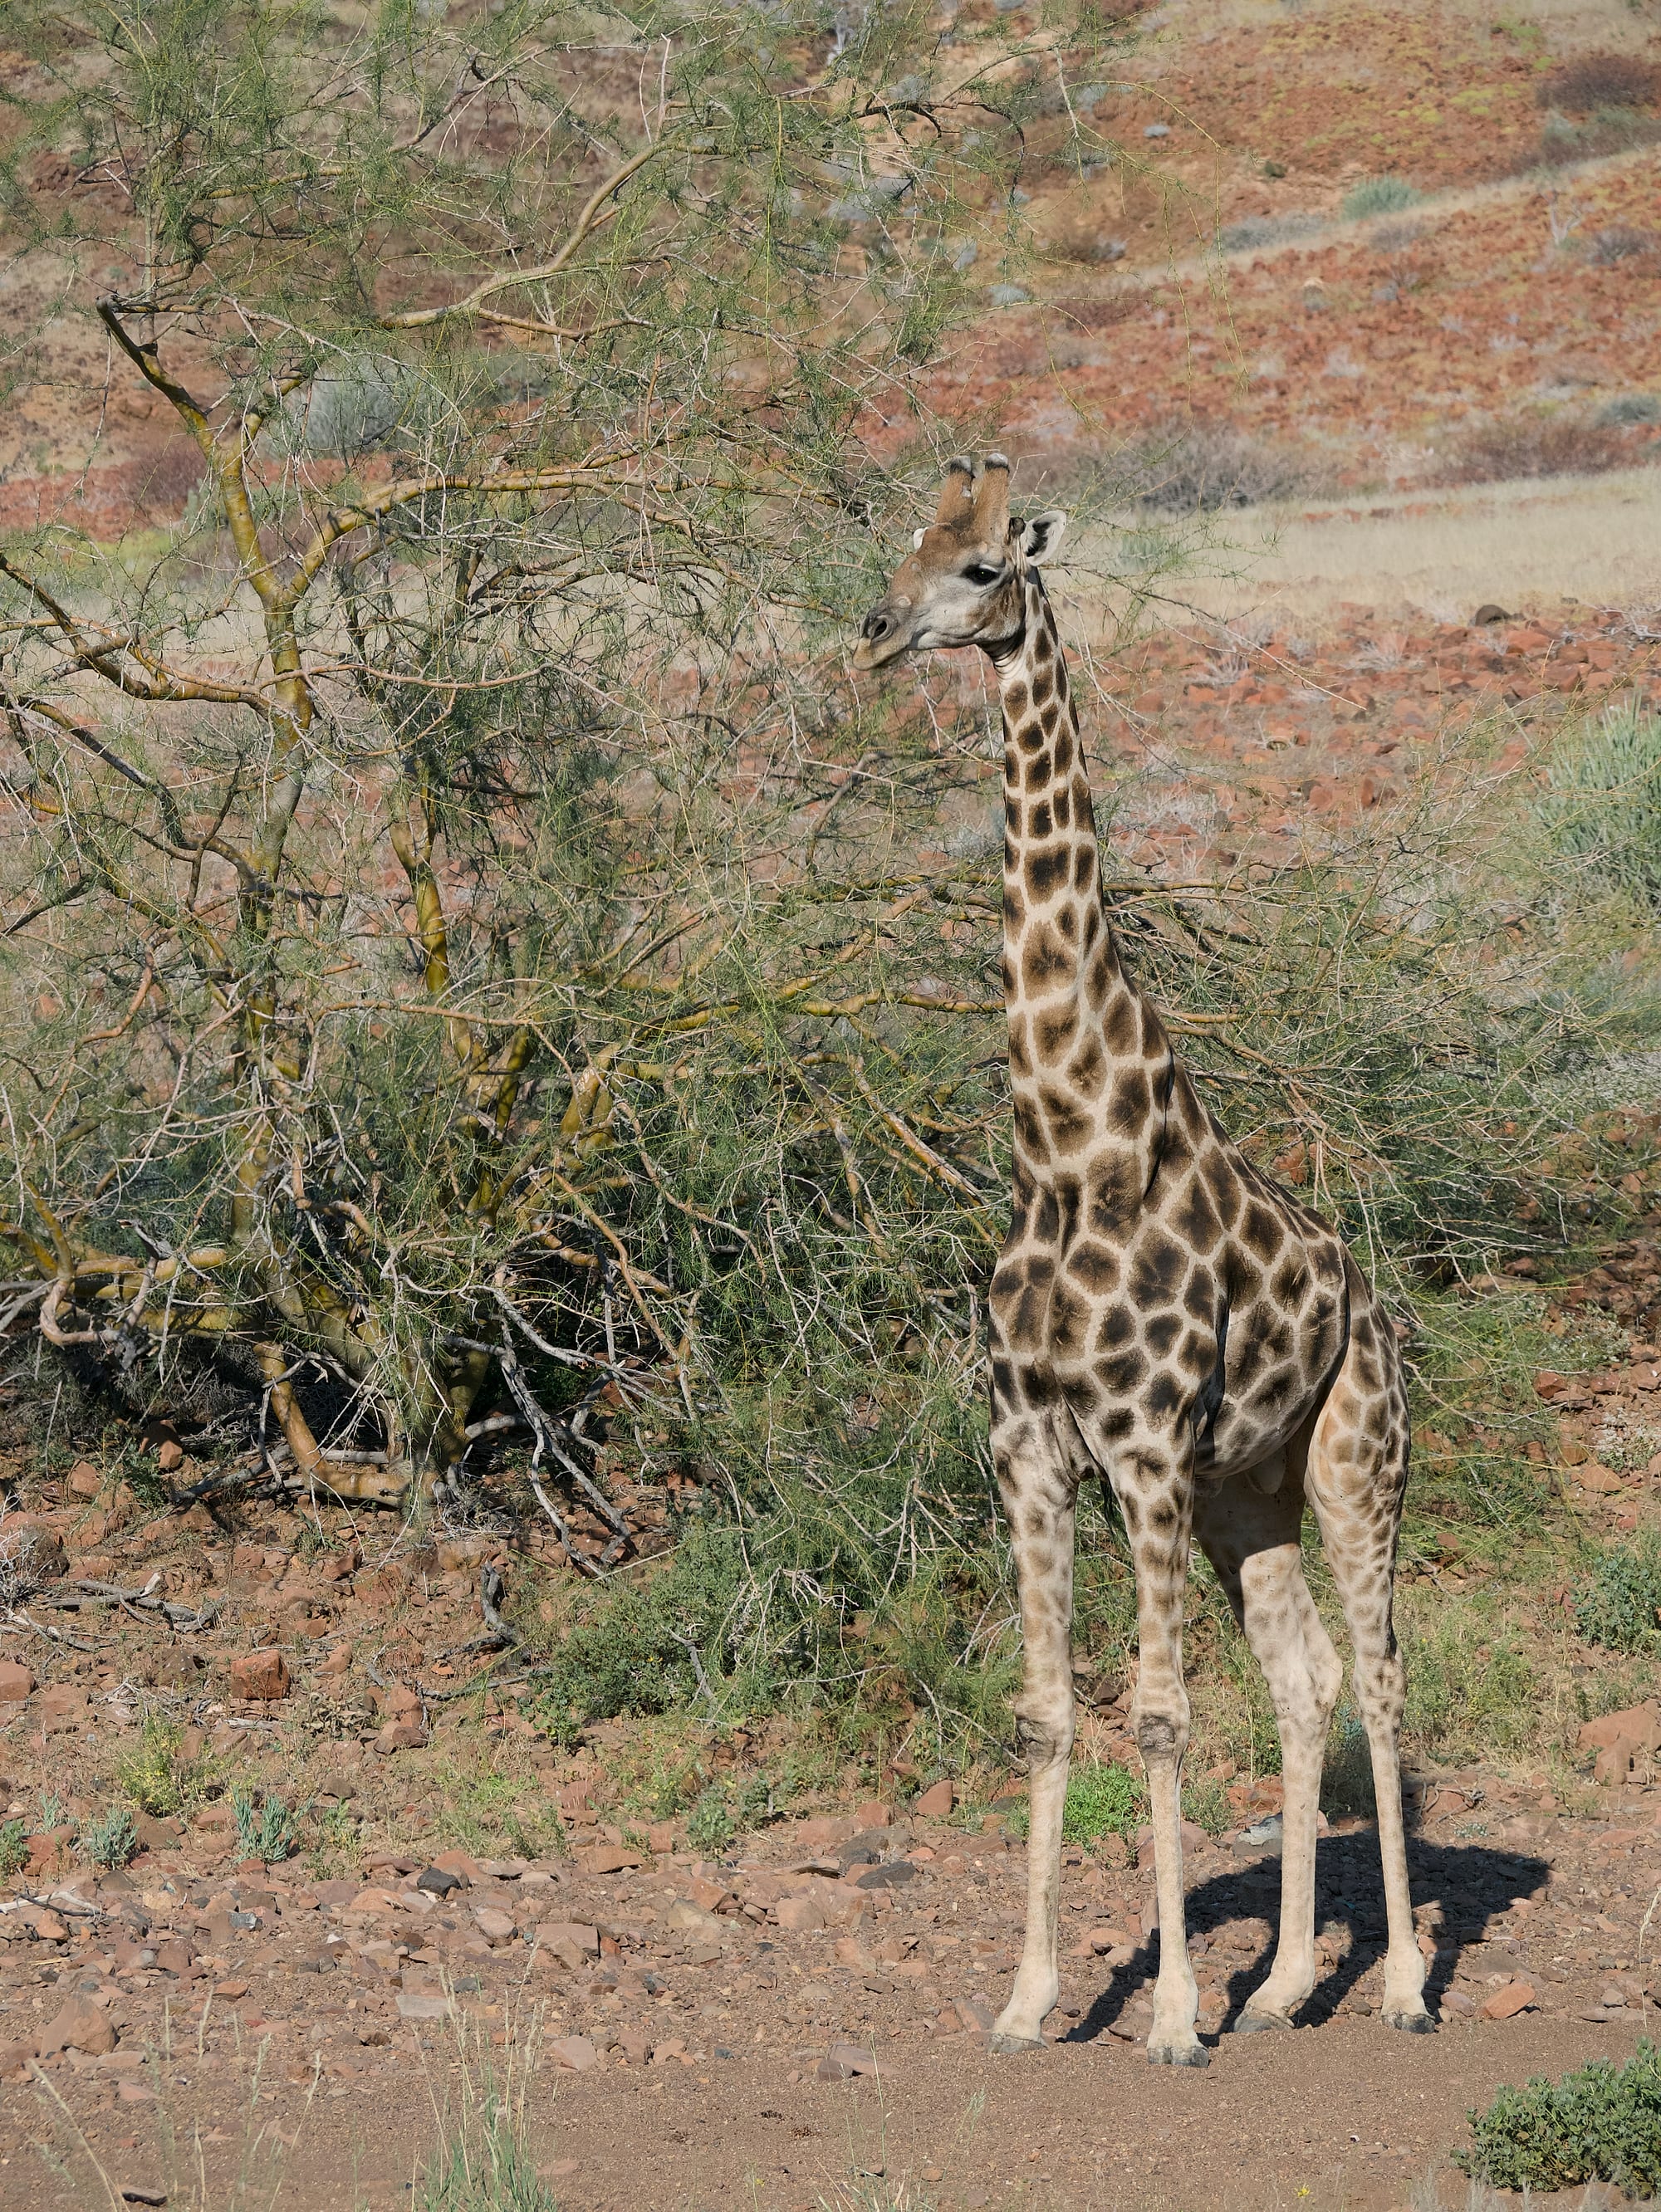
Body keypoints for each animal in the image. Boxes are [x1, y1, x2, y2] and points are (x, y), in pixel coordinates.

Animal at [853, 455, 1430, 2067]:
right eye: (901, 545)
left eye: (983, 567)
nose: (878, 630)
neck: (1065, 1148)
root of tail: (1380, 1311)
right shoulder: (1031, 1445)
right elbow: (1052, 1711)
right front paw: (1028, 1998)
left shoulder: (1148, 1443)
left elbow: (1159, 1712)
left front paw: (1171, 2012)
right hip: (1254, 1495)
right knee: (1305, 1680)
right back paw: (1290, 1984)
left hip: (1352, 1462)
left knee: (1381, 1674)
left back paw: (1404, 1985)